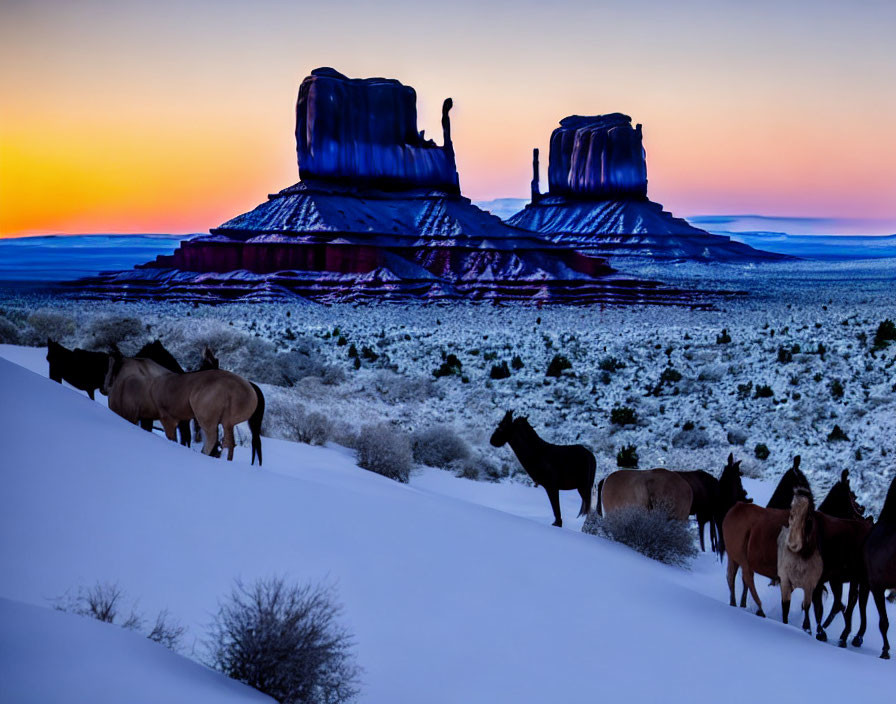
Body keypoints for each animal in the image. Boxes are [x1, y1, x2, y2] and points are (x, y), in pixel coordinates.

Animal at [776, 490, 824, 632]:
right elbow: (785, 605)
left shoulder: (809, 585)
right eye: (791, 511)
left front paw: (807, 628)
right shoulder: (785, 580)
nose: (793, 544)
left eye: (808, 516)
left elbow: (807, 606)